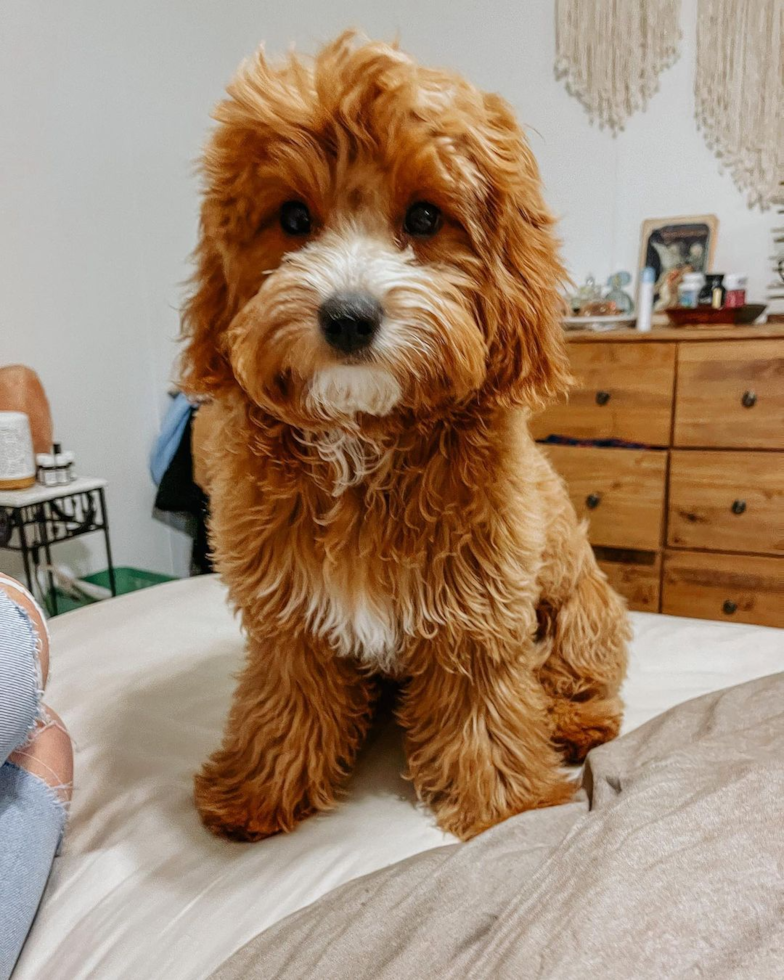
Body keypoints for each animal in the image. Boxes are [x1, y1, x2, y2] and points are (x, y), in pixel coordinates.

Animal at [184, 32, 632, 844]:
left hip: (583, 607)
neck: (365, 439)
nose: (347, 317)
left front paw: (507, 807)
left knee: (576, 672)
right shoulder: (290, 614)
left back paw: (573, 721)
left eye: (425, 218)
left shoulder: (480, 608)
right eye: (293, 218)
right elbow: (284, 695)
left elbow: (487, 708)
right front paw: (260, 788)